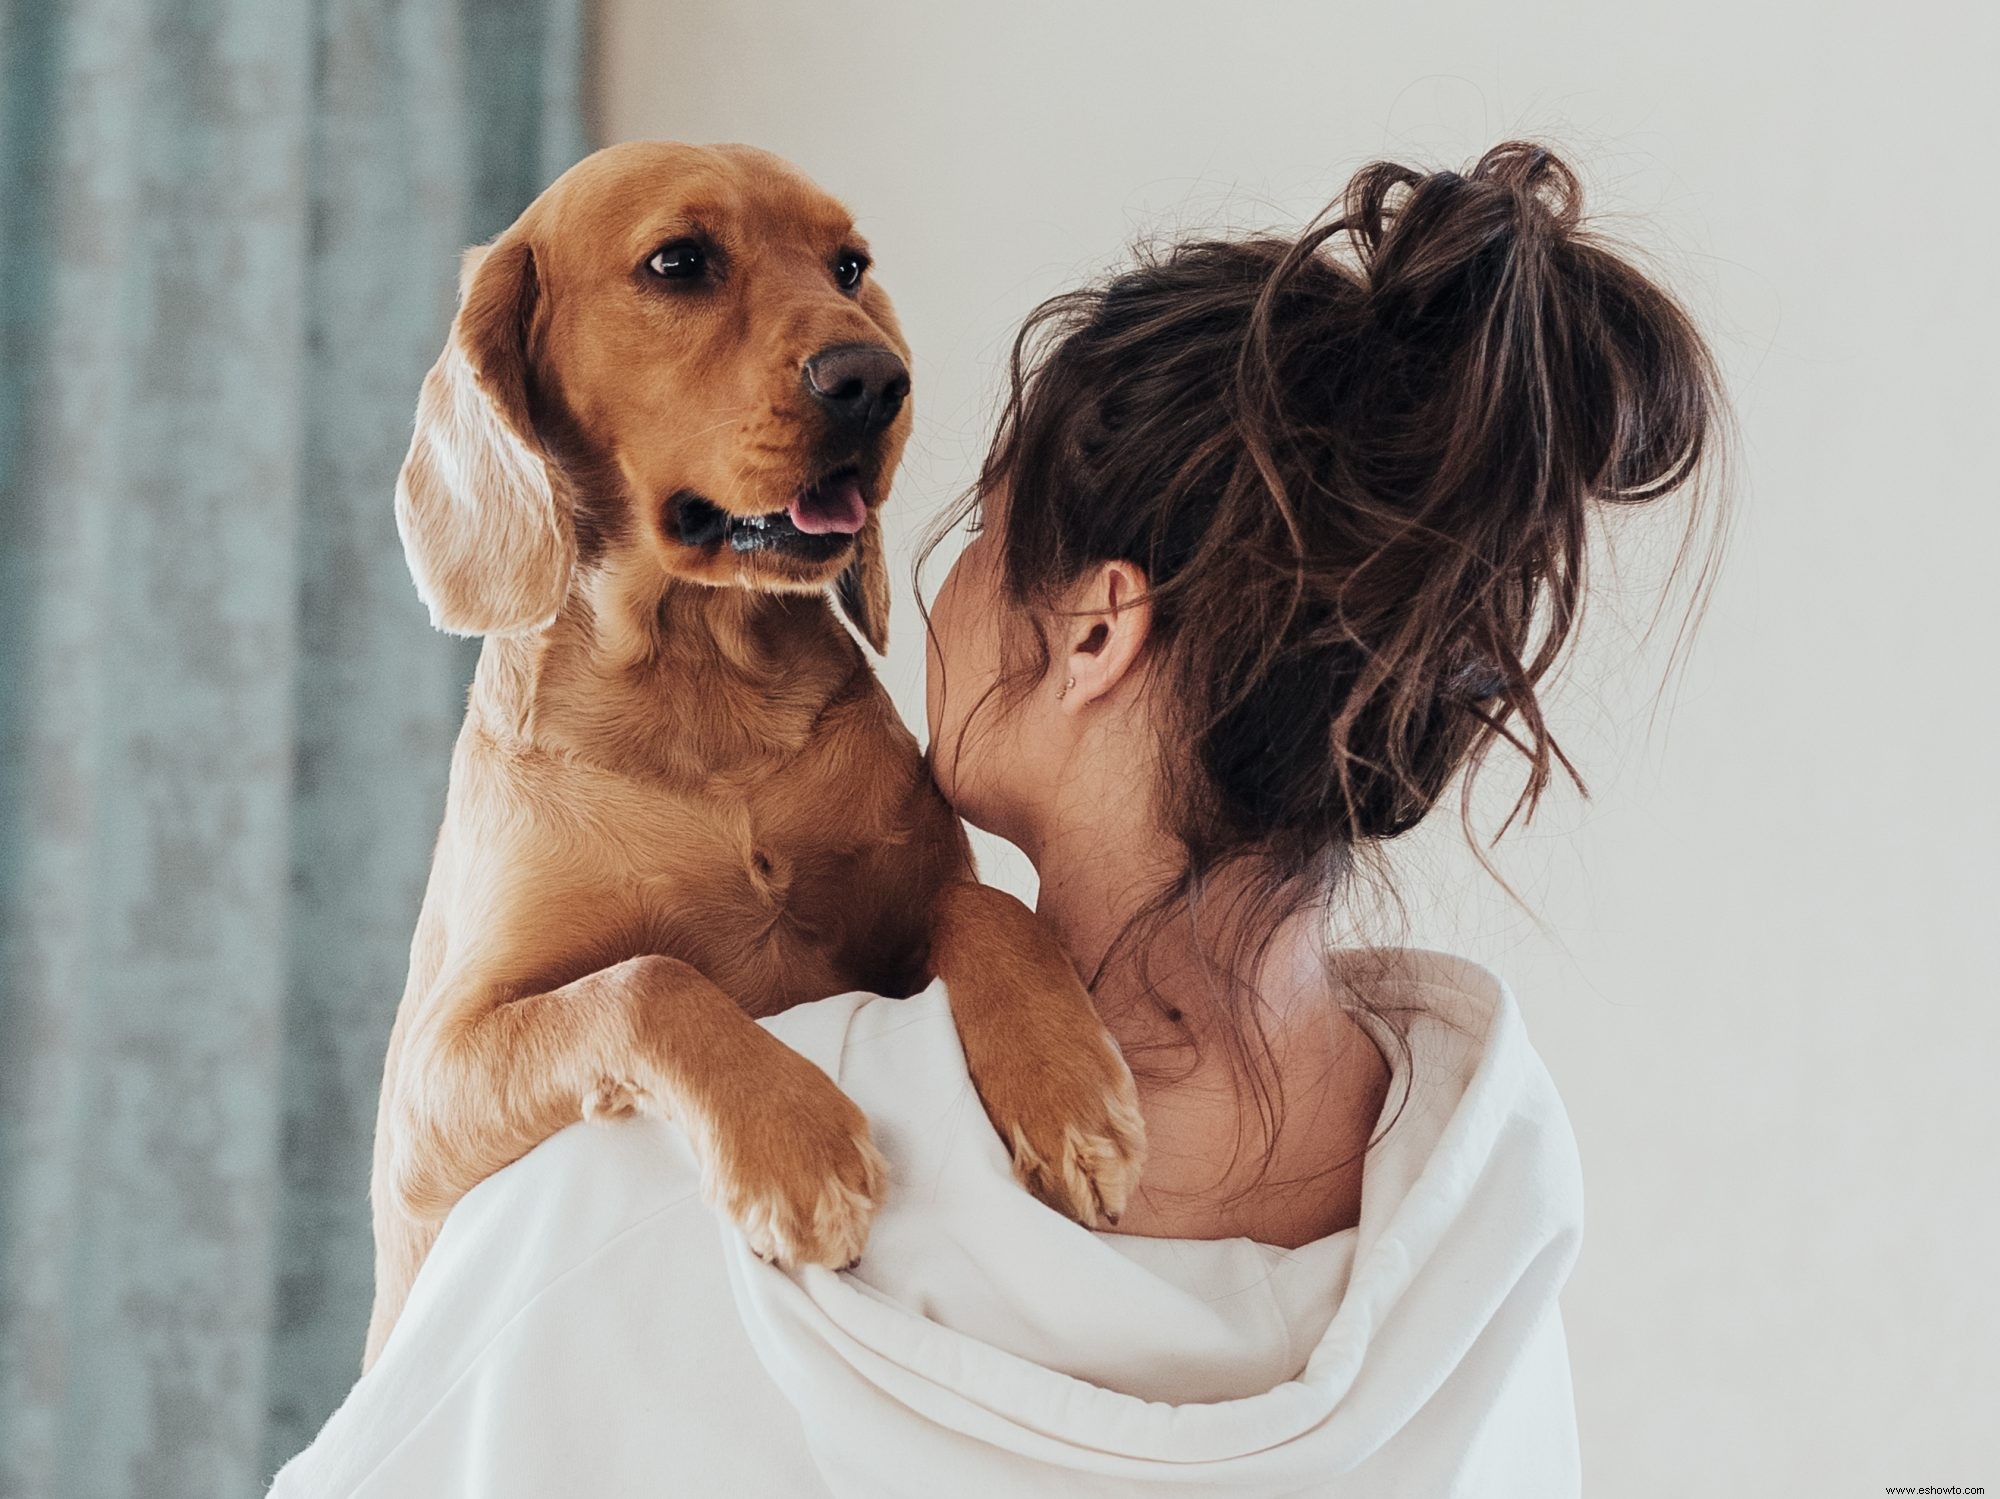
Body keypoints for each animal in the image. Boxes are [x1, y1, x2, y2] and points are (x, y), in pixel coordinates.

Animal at [362, 143, 1144, 1375]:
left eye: (849, 264)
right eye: (679, 262)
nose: (874, 379)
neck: (704, 696)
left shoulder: (922, 905)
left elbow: (989, 910)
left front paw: (1068, 1089)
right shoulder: (428, 1094)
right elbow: (648, 979)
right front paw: (794, 1141)